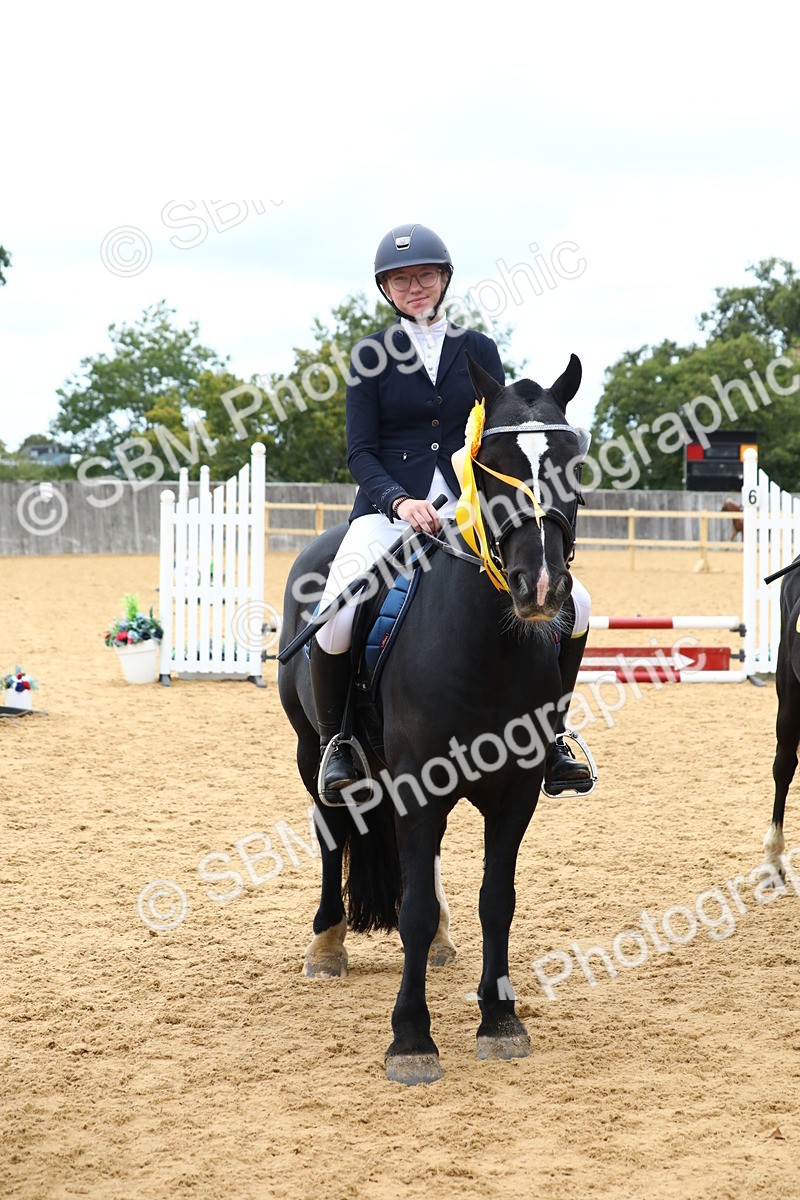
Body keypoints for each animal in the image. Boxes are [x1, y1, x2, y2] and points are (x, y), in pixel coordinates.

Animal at [278, 353, 584, 1085]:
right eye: (489, 461)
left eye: (572, 458)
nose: (541, 587)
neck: (488, 648)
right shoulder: (419, 784)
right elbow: (411, 908)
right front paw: (411, 1038)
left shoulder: (516, 790)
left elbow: (496, 898)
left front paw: (500, 1020)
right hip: (311, 751)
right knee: (330, 829)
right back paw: (326, 945)